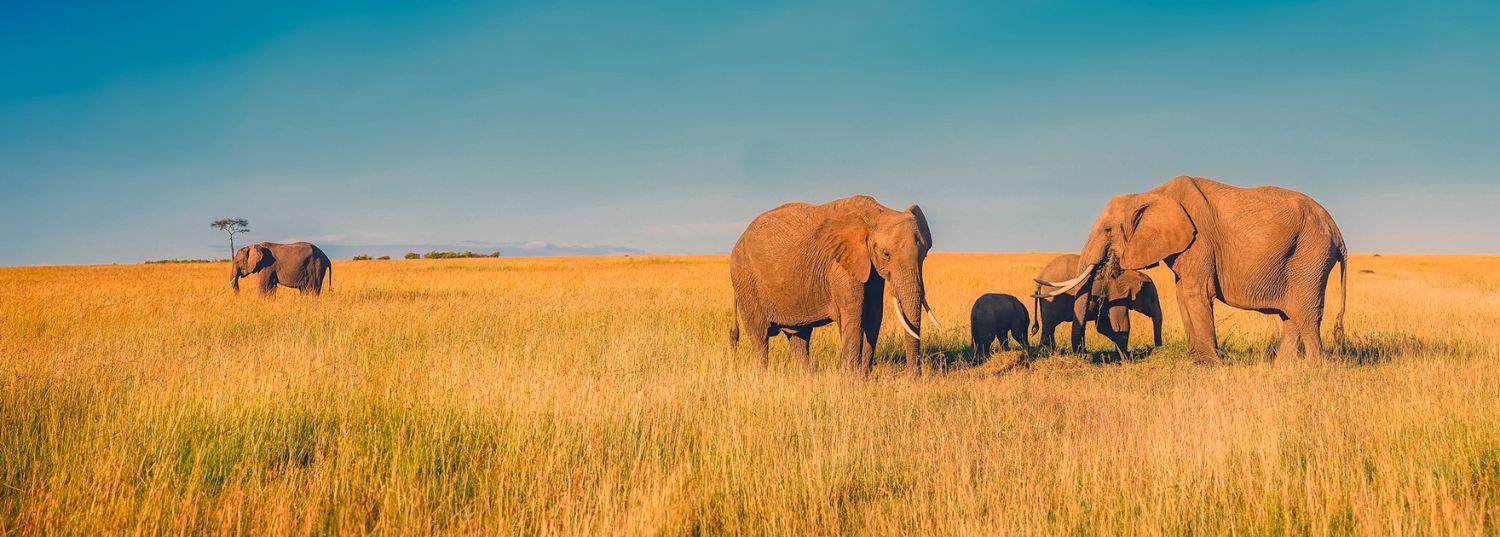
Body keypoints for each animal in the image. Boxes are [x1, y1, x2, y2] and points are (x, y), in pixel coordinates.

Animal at [726, 193, 936, 373]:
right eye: (886, 254)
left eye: (924, 255)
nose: (914, 378)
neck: (876, 212)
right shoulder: (840, 266)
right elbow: (854, 316)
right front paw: (850, 380)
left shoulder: (869, 267)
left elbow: (874, 316)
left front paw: (863, 378)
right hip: (745, 279)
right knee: (759, 335)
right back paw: (762, 375)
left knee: (799, 336)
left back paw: (805, 378)